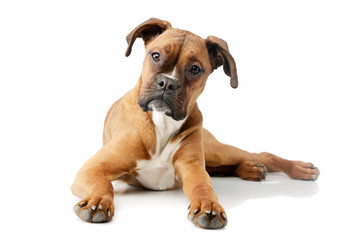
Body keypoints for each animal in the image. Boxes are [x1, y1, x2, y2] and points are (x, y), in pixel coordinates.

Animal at [71, 18, 320, 229]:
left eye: (195, 69)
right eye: (155, 56)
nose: (167, 83)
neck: (162, 122)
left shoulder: (193, 169)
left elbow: (203, 185)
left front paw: (208, 205)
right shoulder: (93, 169)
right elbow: (104, 184)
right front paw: (98, 201)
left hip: (216, 150)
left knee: (262, 155)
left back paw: (298, 169)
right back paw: (251, 170)